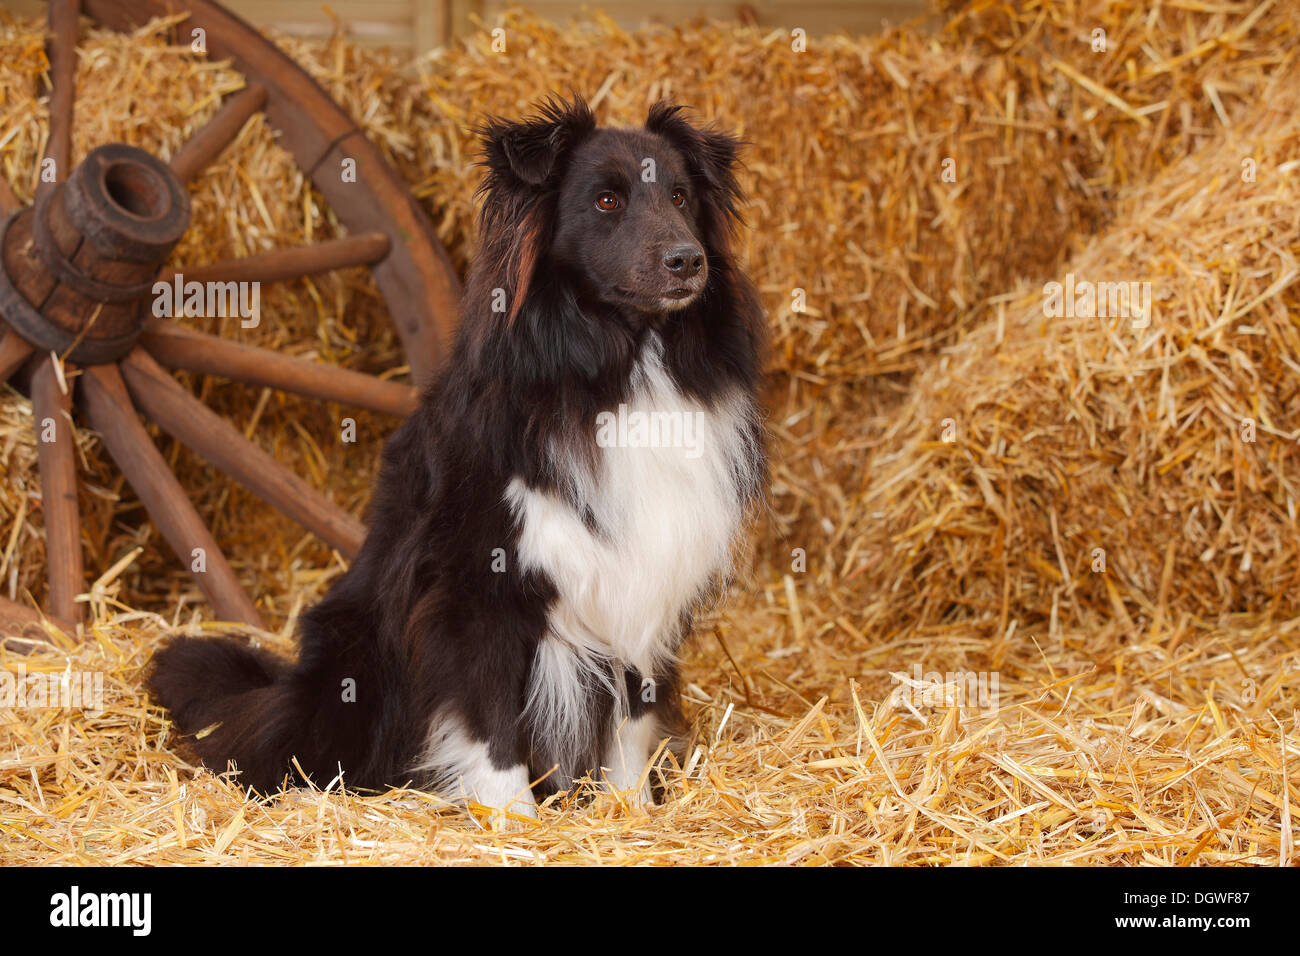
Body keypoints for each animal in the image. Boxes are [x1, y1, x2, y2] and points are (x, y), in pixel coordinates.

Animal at [148, 95, 764, 816]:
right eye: (607, 200)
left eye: (681, 195)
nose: (687, 261)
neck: (620, 367)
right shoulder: (473, 586)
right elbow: (489, 716)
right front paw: (512, 820)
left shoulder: (651, 577)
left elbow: (632, 720)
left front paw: (629, 813)